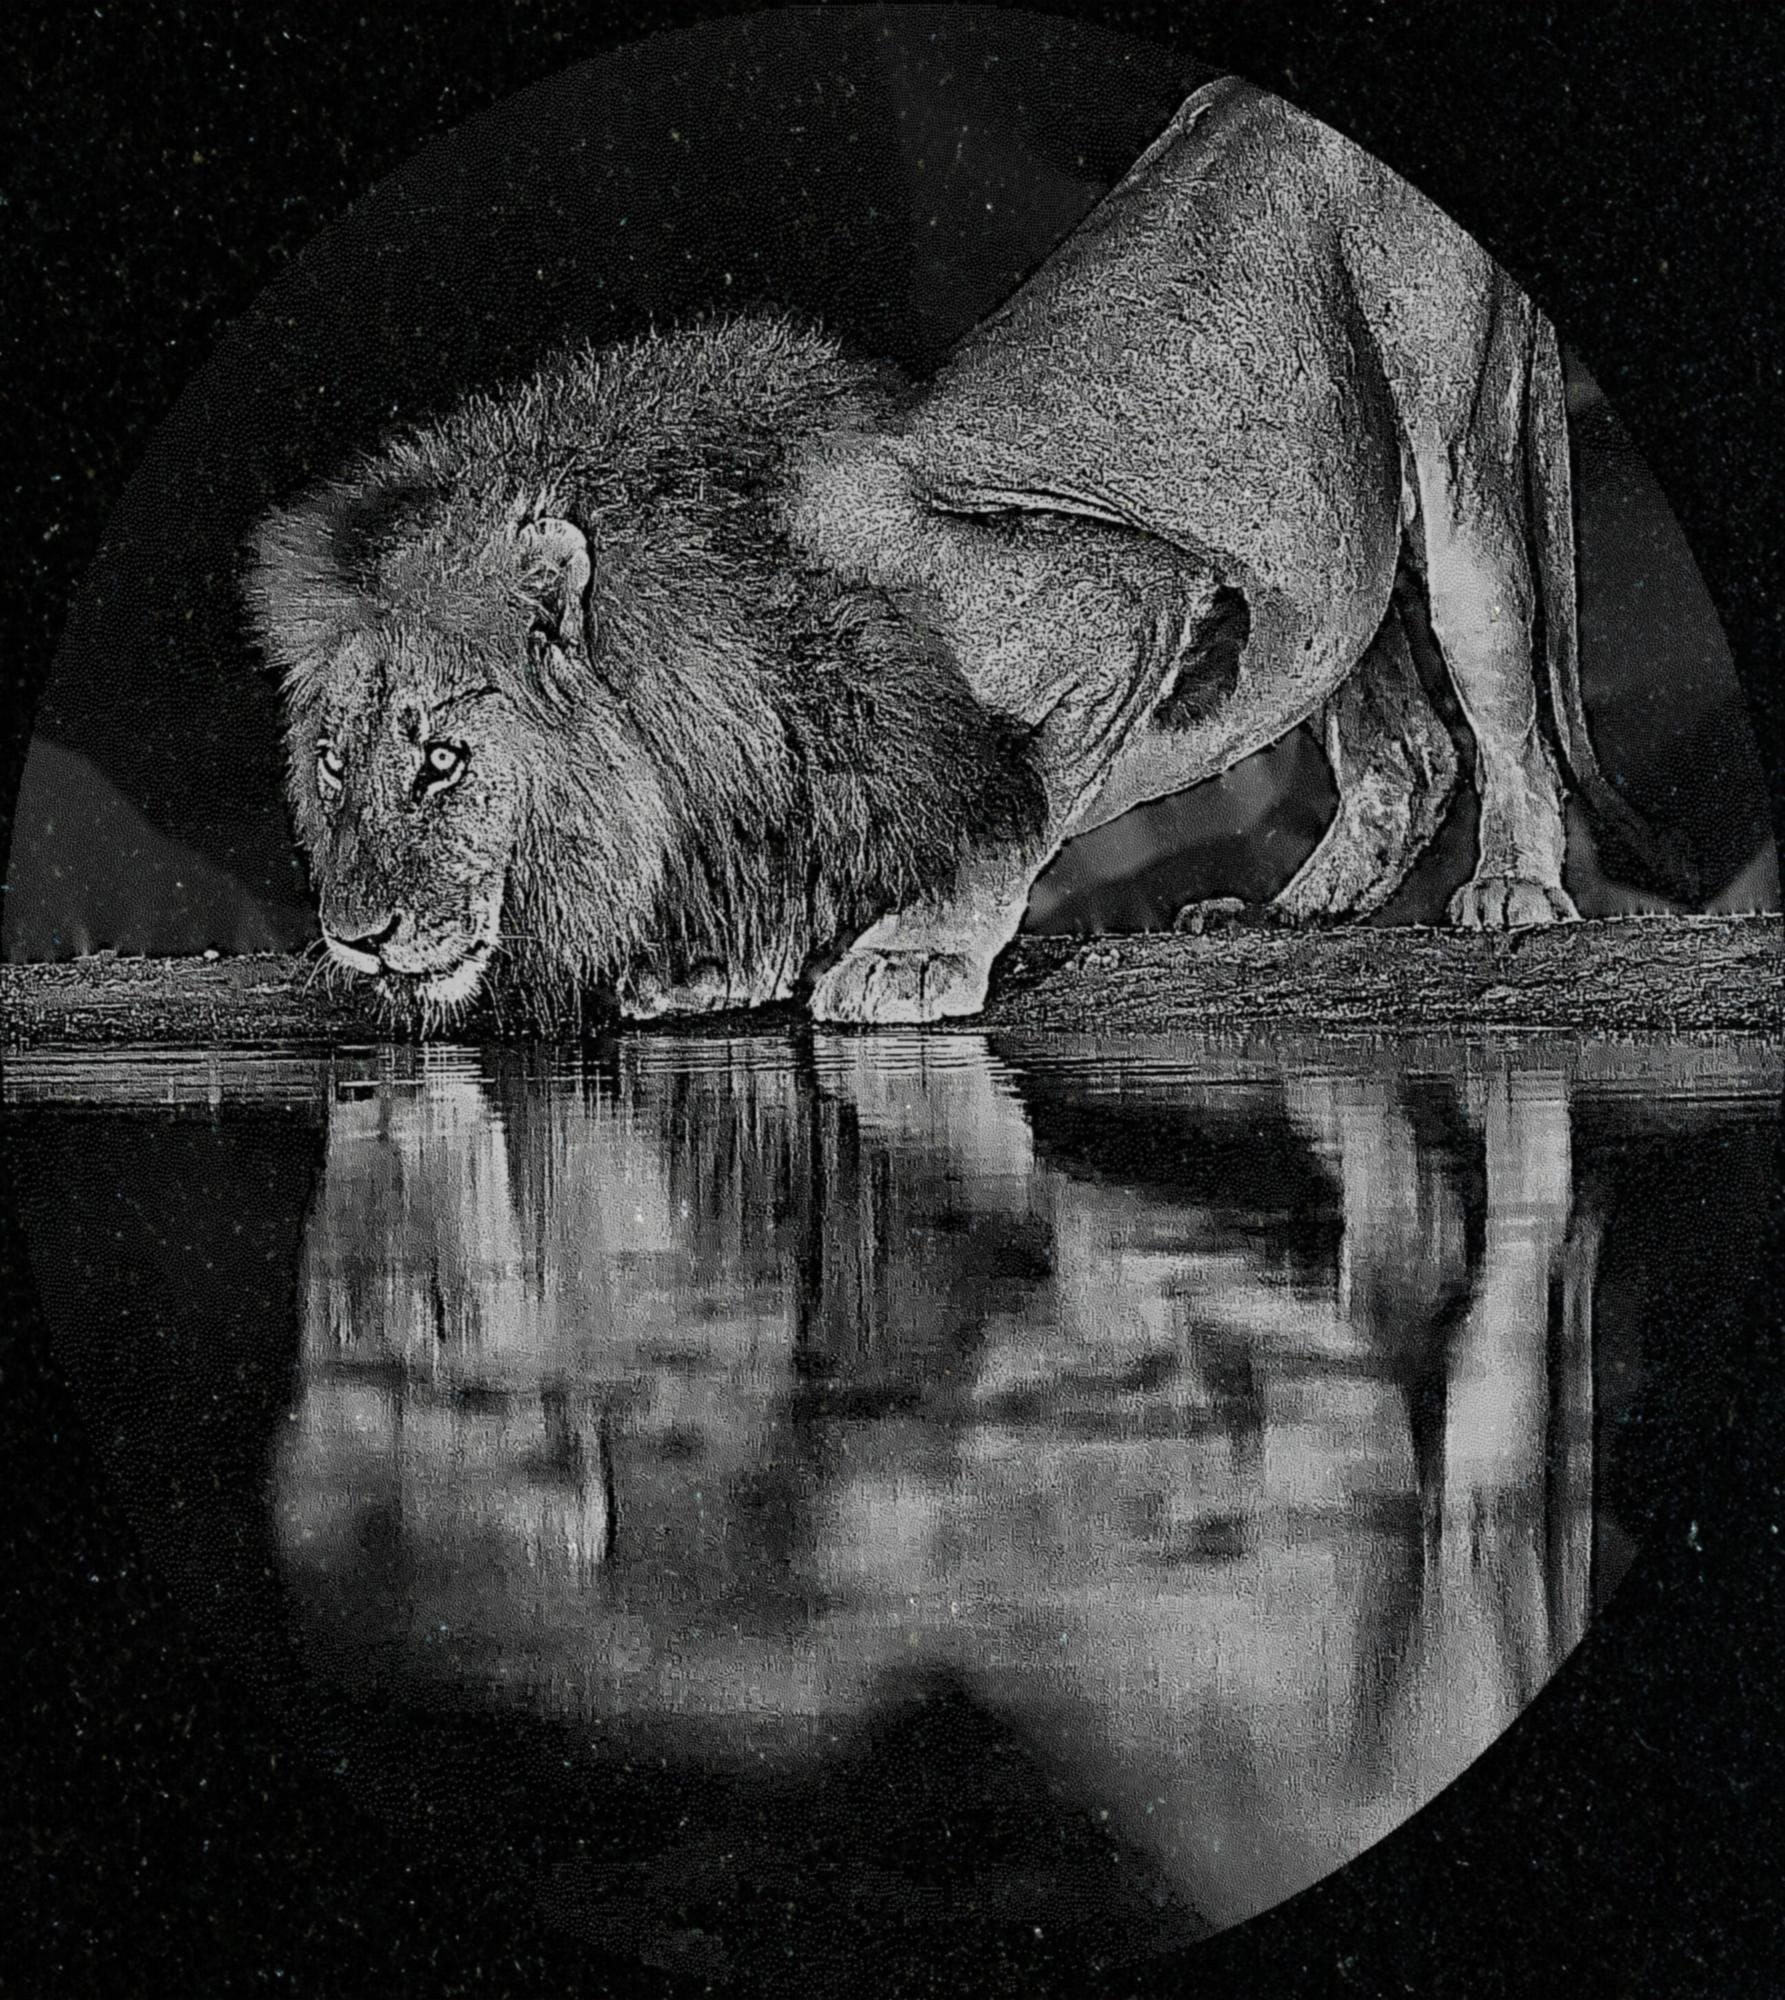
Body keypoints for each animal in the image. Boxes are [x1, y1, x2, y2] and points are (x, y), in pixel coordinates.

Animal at [246, 76, 1691, 1028]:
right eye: (334, 762)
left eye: (444, 759)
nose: (355, 941)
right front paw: (732, 967)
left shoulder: (1117, 602)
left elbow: (1013, 805)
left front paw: (912, 955)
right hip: (1323, 535)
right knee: (1400, 742)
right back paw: (1300, 909)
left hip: (1454, 454)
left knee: (1494, 704)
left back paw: (1512, 887)